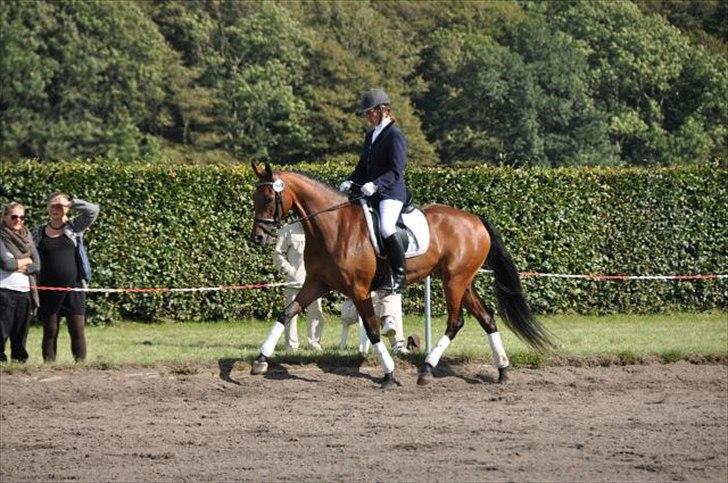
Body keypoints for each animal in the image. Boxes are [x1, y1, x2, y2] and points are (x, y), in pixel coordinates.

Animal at [250, 164, 552, 390]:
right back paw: (502, 370)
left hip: (453, 282)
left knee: (456, 322)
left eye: (268, 199)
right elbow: (286, 313)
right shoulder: (316, 283)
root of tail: (476, 220)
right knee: (487, 318)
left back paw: (427, 369)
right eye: (254, 199)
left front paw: (389, 374)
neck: (333, 227)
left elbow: (373, 330)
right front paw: (260, 360)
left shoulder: (359, 290)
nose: (258, 238)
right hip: (461, 281)